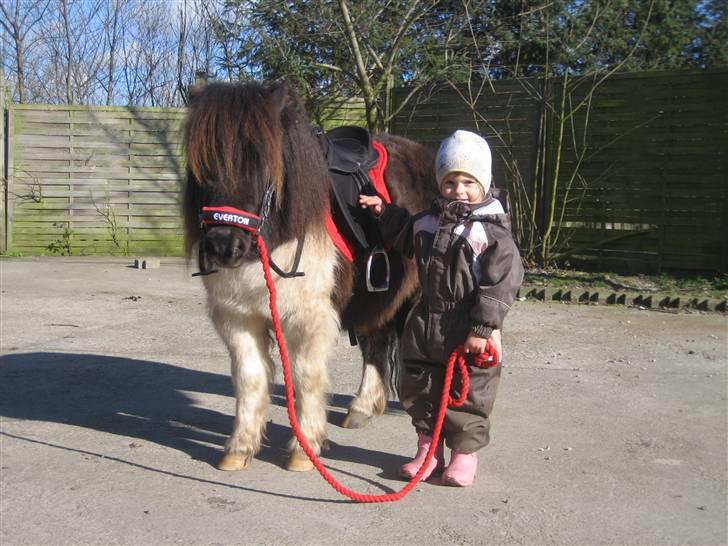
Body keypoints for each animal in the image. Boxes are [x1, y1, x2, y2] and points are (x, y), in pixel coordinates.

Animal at [182, 79, 438, 468]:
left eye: (263, 164)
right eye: (203, 163)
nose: (225, 246)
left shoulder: (308, 318)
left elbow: (306, 378)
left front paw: (304, 451)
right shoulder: (238, 317)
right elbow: (249, 378)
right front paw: (239, 448)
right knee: (375, 344)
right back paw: (362, 408)